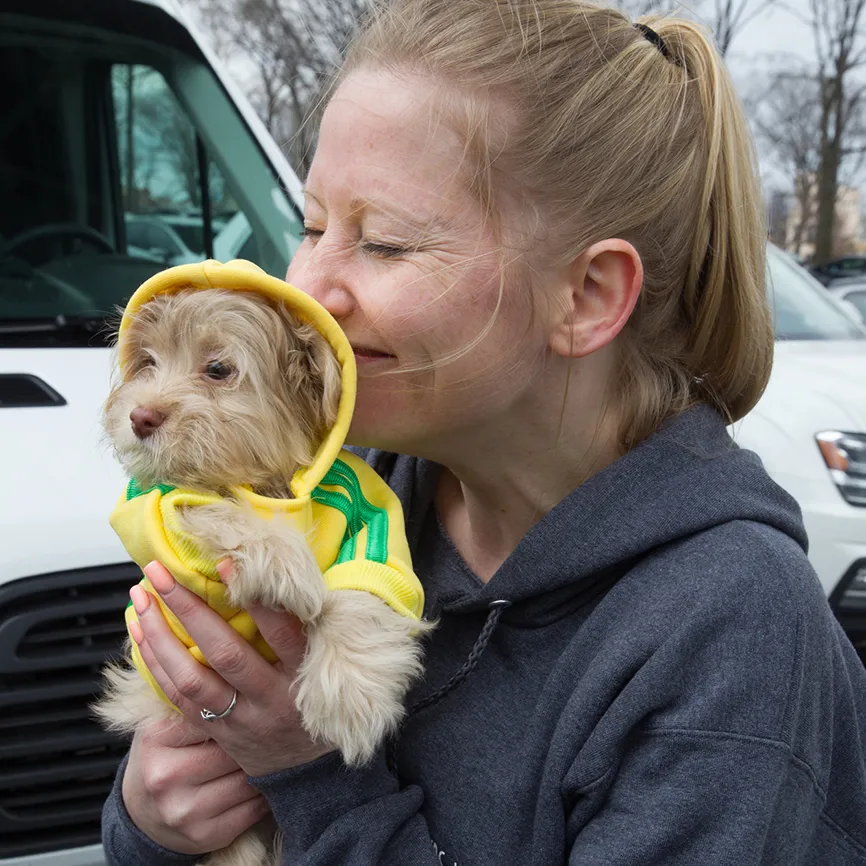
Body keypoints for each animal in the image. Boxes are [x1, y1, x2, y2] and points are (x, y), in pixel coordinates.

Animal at [95, 290, 432, 864]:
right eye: (149, 363)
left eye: (217, 369)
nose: (140, 416)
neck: (265, 482)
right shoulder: (156, 508)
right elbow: (210, 508)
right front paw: (283, 560)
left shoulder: (372, 514)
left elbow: (365, 590)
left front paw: (350, 695)